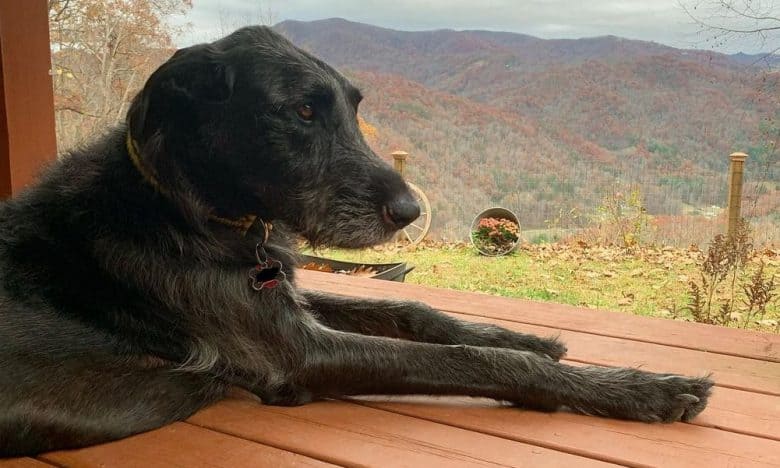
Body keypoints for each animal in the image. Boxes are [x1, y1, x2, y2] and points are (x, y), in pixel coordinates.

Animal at [0, 26, 712, 458]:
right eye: (302, 111)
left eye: (351, 106)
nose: (410, 210)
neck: (188, 210)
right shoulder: (292, 351)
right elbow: (479, 362)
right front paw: (638, 387)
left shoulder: (282, 293)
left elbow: (412, 309)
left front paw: (523, 335)